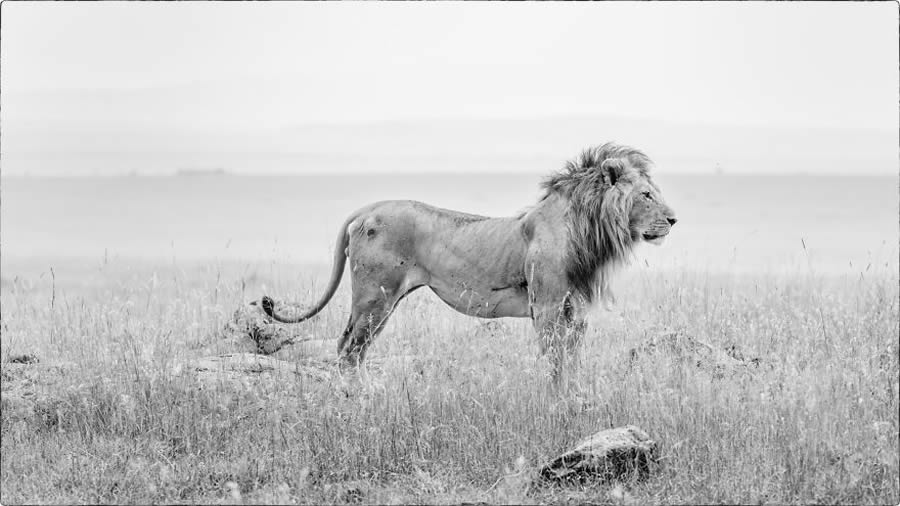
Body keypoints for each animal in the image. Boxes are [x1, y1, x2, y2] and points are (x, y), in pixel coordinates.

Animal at [258, 142, 676, 388]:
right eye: (646, 195)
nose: (674, 220)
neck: (589, 232)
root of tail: (368, 208)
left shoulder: (576, 310)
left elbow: (572, 361)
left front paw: (576, 399)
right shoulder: (547, 306)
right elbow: (554, 361)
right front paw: (556, 402)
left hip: (383, 300)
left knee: (355, 348)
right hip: (374, 295)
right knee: (349, 347)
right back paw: (363, 399)